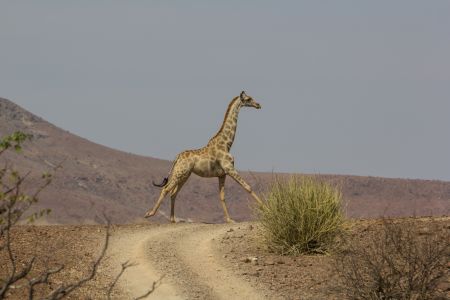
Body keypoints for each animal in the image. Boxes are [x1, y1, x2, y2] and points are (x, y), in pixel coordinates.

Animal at [144, 91, 264, 223]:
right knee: (166, 189)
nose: (258, 105)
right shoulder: (229, 169)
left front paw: (229, 219)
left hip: (183, 174)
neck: (226, 144)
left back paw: (173, 219)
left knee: (173, 193)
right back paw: (149, 213)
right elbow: (248, 187)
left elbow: (222, 196)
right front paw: (266, 208)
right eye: (248, 99)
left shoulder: (222, 174)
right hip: (180, 173)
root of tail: (177, 157)